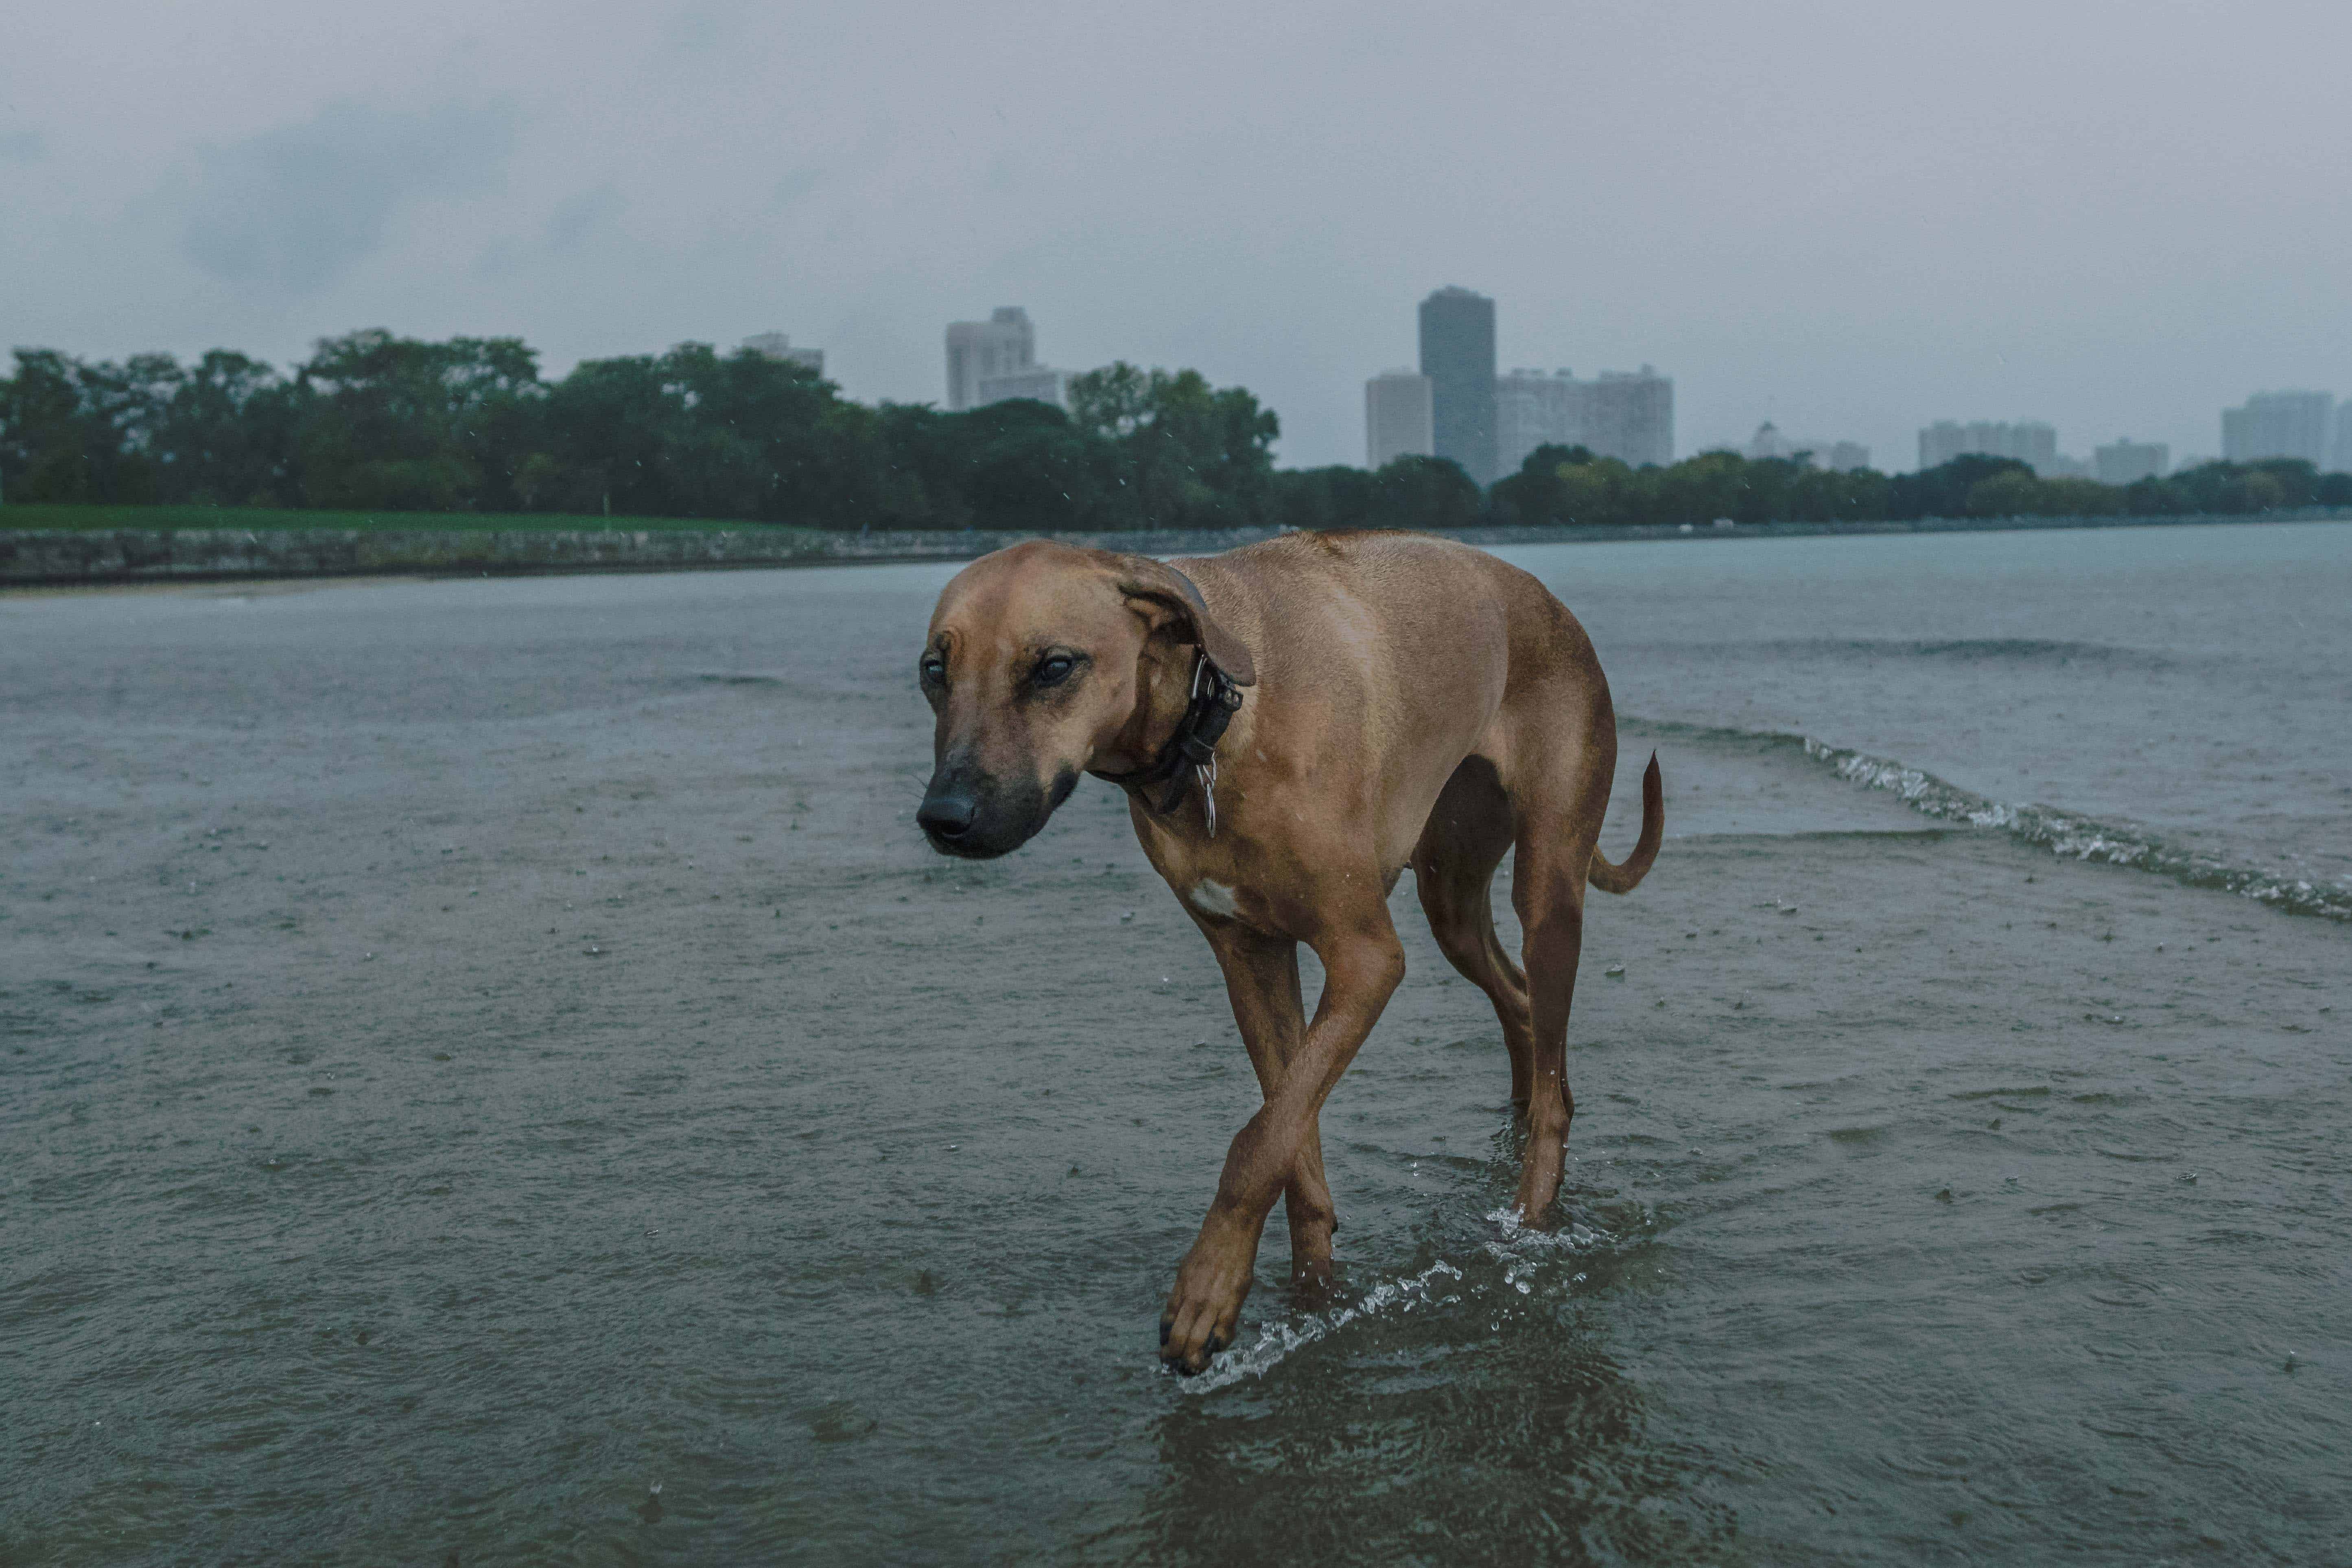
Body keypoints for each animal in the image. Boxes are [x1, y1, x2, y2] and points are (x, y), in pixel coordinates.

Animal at [908, 534, 1665, 1363]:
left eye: (1053, 666)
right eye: (935, 670)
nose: (944, 817)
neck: (1216, 724)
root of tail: (1551, 604)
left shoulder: (1366, 959)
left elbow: (1258, 1140)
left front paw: (1205, 1288)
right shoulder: (1250, 959)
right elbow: (1289, 1132)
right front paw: (1306, 1288)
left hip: (1549, 888)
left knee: (1550, 1045)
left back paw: (1529, 1218)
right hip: (1452, 896)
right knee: (1522, 1004)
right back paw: (1527, 1106)